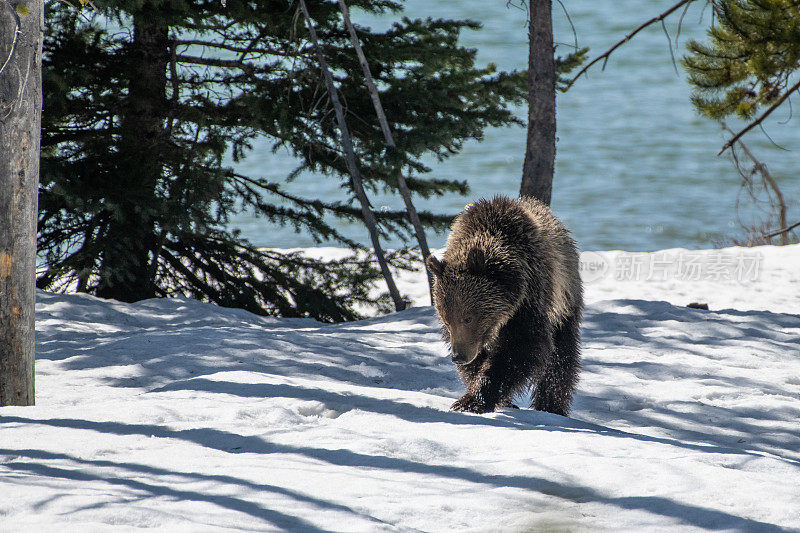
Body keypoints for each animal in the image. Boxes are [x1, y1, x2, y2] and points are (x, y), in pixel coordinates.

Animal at [428, 196, 584, 416]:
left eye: (468, 317)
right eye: (447, 320)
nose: (458, 356)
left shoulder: (529, 299)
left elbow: (520, 347)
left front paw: (472, 400)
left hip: (564, 301)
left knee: (561, 357)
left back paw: (551, 406)